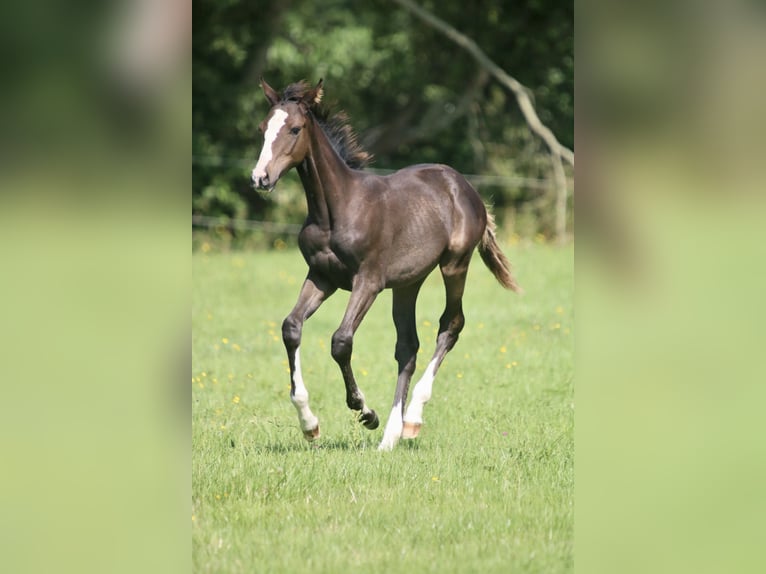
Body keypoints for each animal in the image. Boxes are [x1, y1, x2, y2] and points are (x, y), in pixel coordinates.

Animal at [254, 79, 520, 452]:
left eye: (294, 129)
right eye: (263, 129)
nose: (260, 178)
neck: (337, 209)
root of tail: (464, 185)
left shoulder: (369, 280)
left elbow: (341, 340)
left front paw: (365, 412)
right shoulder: (322, 277)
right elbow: (291, 327)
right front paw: (309, 424)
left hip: (455, 265)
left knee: (451, 324)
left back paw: (412, 420)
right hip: (408, 284)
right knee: (408, 346)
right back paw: (391, 436)